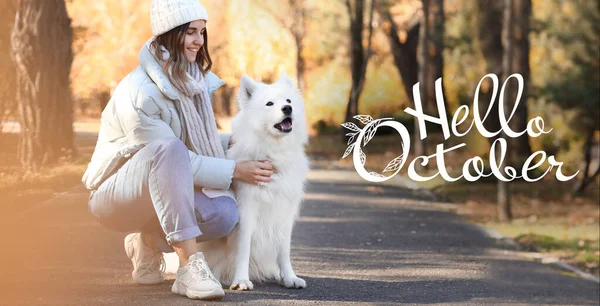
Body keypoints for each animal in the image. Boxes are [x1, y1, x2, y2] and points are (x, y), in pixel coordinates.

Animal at [197, 73, 310, 290]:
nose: (287, 108)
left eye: (289, 101)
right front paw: (241, 280)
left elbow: (284, 251)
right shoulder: (246, 211)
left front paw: (289, 277)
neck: (273, 153)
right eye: (269, 104)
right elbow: (244, 249)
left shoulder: (284, 213)